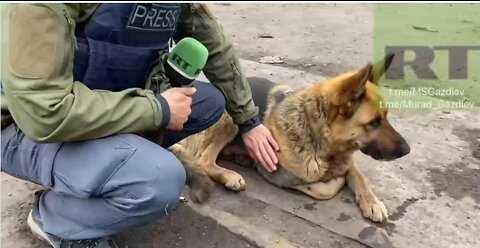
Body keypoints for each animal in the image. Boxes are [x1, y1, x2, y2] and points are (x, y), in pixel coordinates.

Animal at [168, 52, 408, 223]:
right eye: (373, 123)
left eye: (386, 117)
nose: (408, 150)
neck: (315, 134)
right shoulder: (278, 172)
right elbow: (322, 188)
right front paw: (332, 180)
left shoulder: (348, 159)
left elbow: (359, 176)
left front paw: (372, 201)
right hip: (230, 117)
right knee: (203, 158)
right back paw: (229, 175)